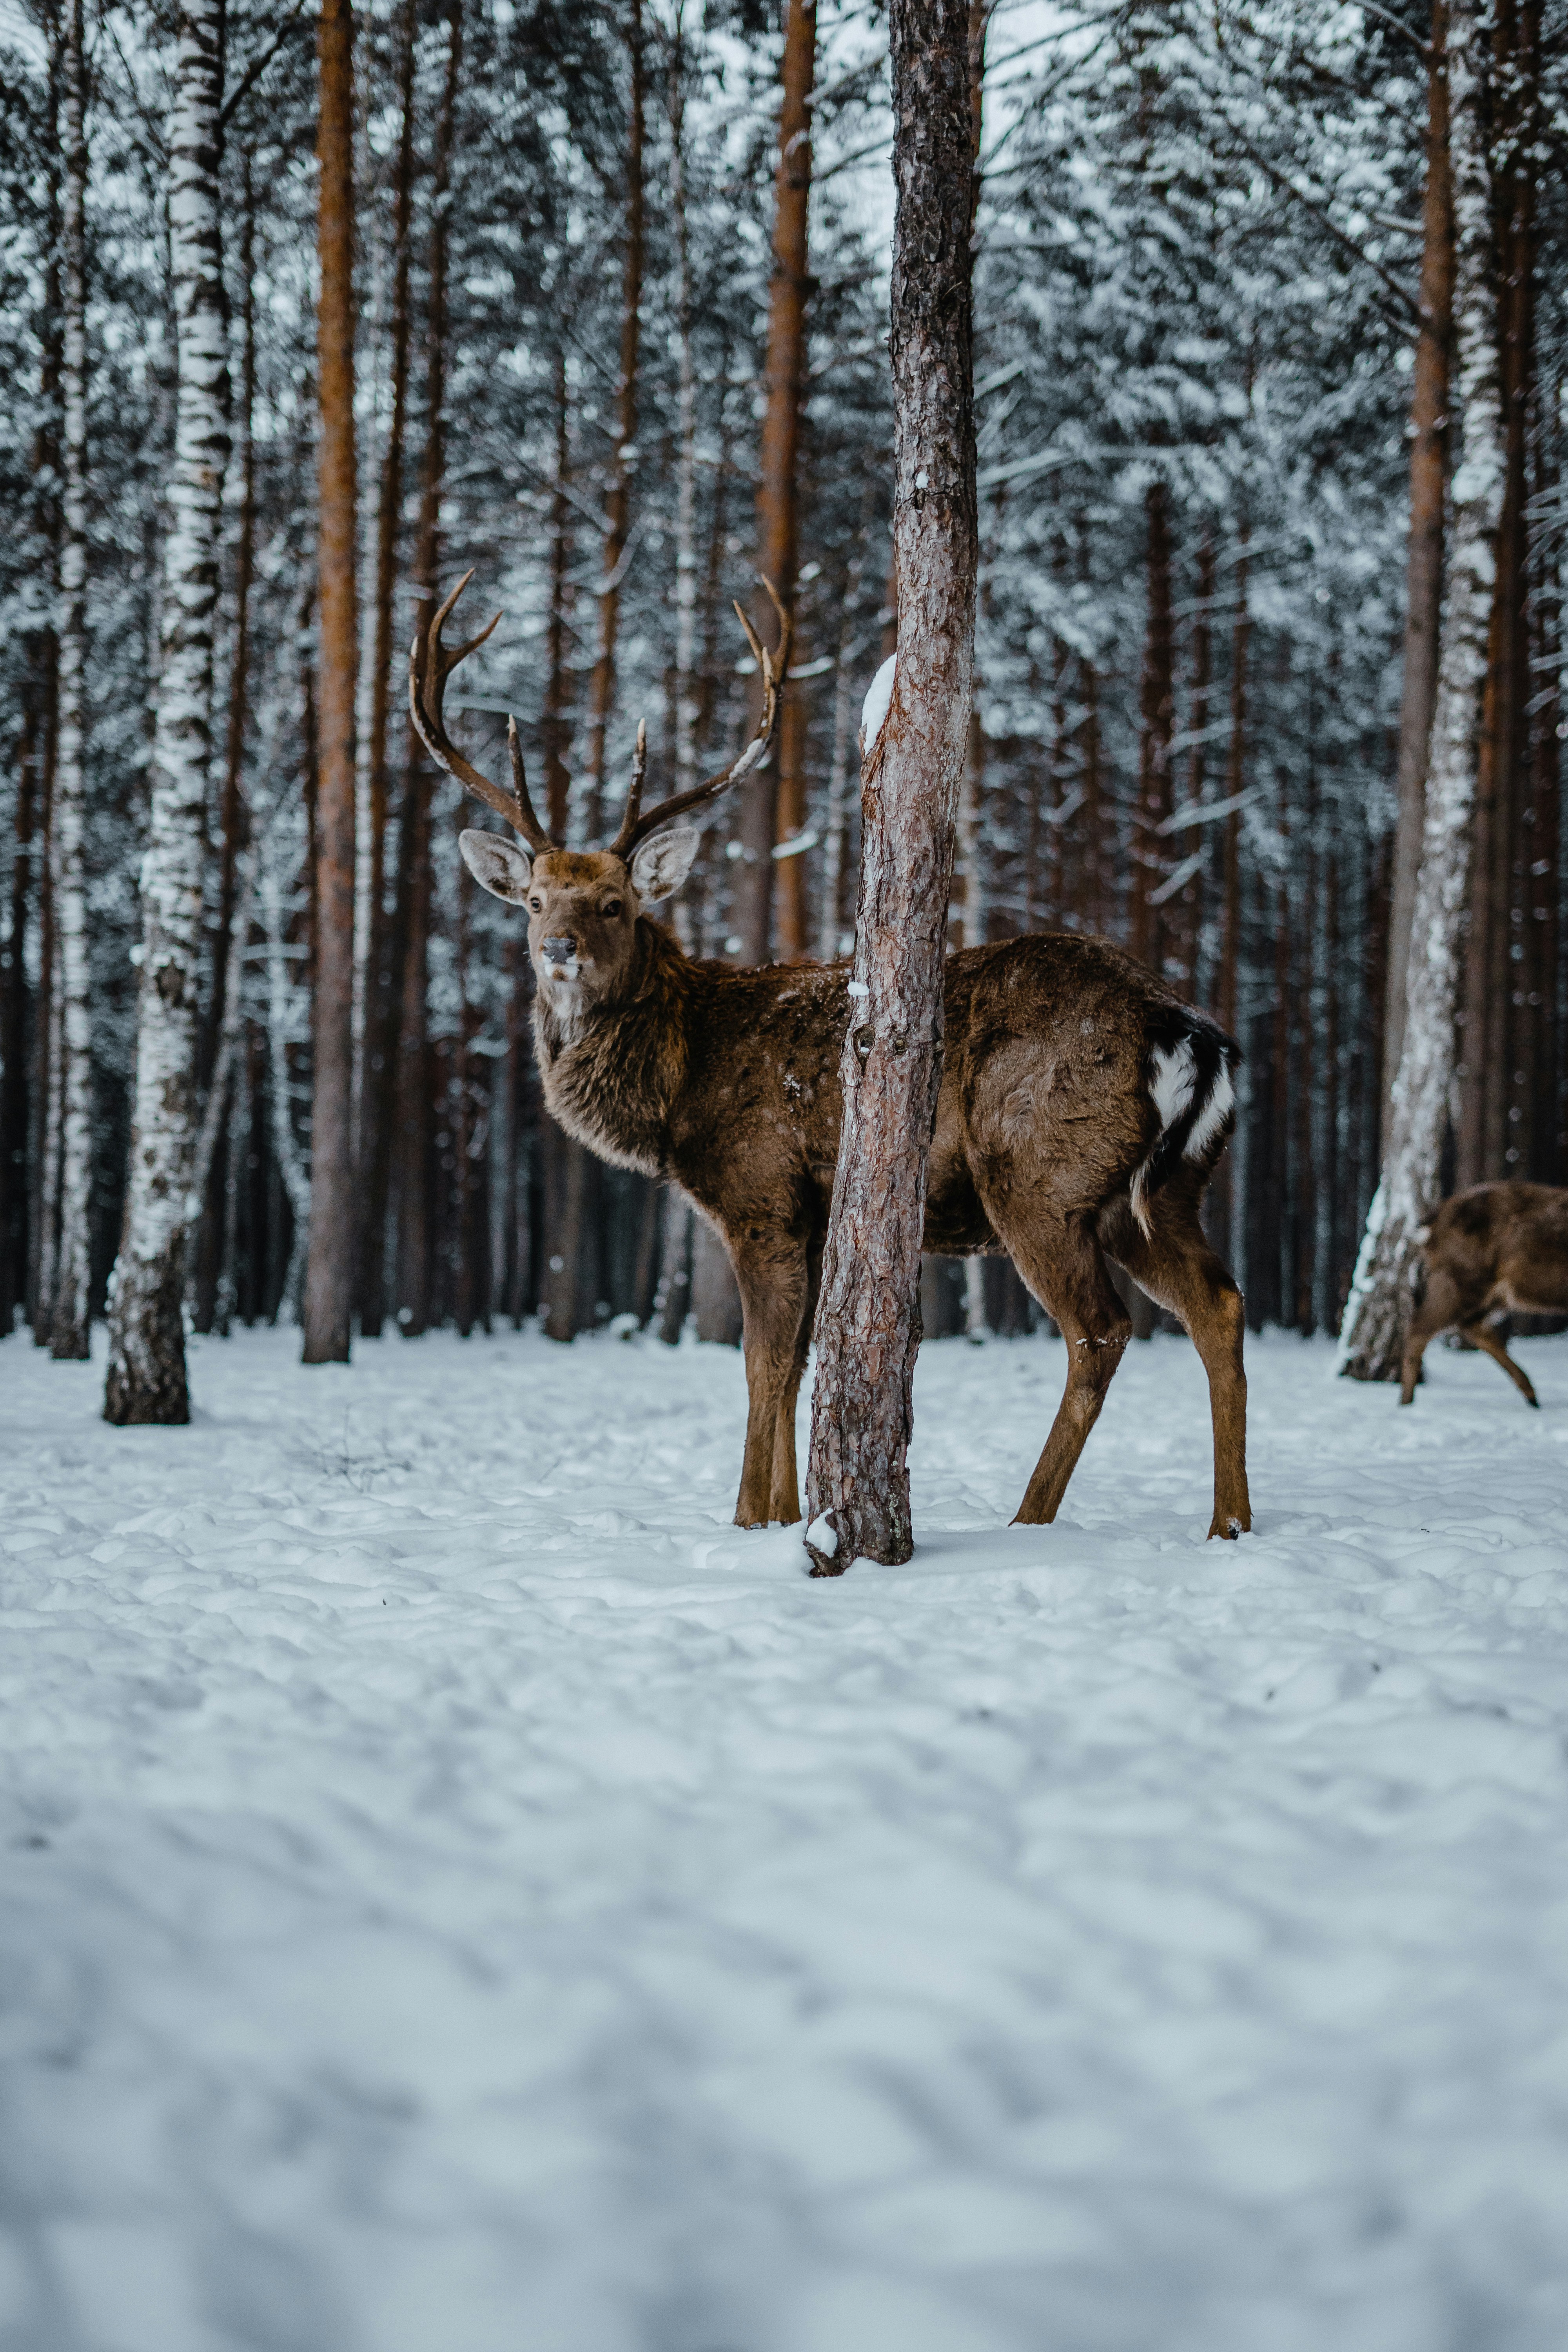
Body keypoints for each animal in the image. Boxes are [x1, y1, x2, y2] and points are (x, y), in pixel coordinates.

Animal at [411, 573, 1252, 1551]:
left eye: (616, 904)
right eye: (537, 899)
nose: (558, 950)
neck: (676, 1088)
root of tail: (1182, 1027)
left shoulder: (759, 1191)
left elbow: (763, 1362)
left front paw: (747, 1518)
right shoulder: (811, 1218)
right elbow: (804, 1360)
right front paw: (785, 1515)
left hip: (1038, 1172)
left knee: (1101, 1331)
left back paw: (1028, 1517)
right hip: (1161, 1186)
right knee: (1217, 1304)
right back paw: (1229, 1521)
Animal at [1400, 1182, 1568, 1409]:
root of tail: (1432, 1226)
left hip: (1492, 1293)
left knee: (1471, 1327)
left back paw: (1532, 1396)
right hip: (1461, 1279)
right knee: (1419, 1328)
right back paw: (1406, 1404)